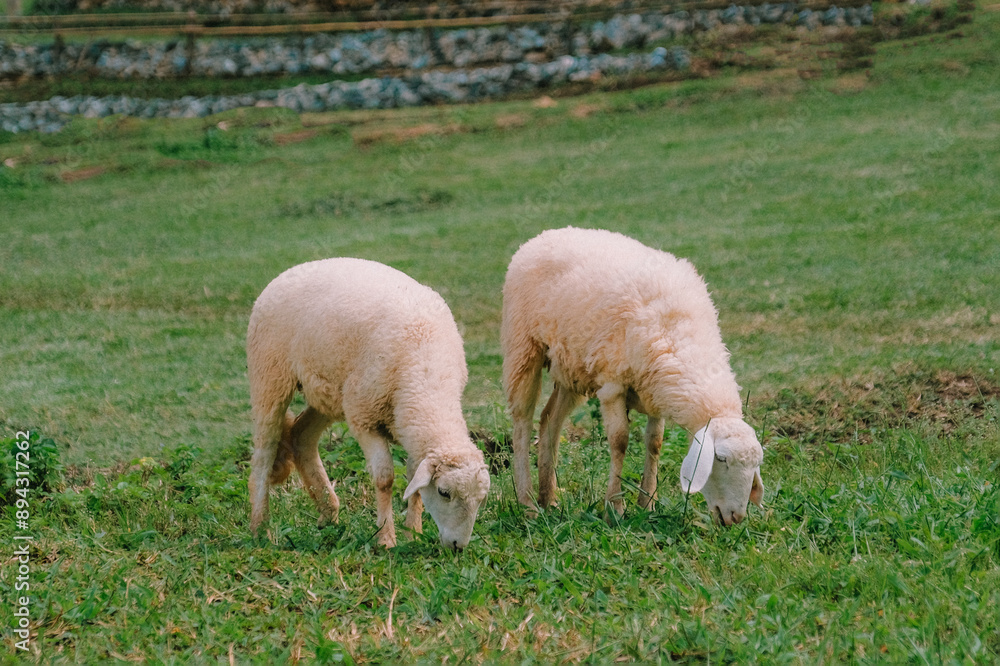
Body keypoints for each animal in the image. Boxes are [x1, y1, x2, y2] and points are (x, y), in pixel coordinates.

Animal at [246, 257, 491, 549]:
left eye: (480, 500)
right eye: (444, 493)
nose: (458, 546)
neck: (426, 375)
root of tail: (296, 268)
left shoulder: (408, 423)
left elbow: (414, 482)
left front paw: (413, 534)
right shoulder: (364, 417)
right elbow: (385, 478)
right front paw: (386, 539)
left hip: (332, 391)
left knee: (301, 436)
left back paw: (329, 514)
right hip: (270, 375)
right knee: (264, 453)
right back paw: (261, 529)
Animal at [501, 227, 763, 526]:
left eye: (756, 465)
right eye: (721, 460)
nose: (736, 517)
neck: (682, 333)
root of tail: (546, 234)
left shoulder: (655, 388)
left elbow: (655, 442)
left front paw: (647, 503)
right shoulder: (613, 384)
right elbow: (619, 442)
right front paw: (614, 507)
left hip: (570, 364)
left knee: (549, 420)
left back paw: (549, 498)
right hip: (523, 345)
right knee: (522, 422)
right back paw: (528, 503)